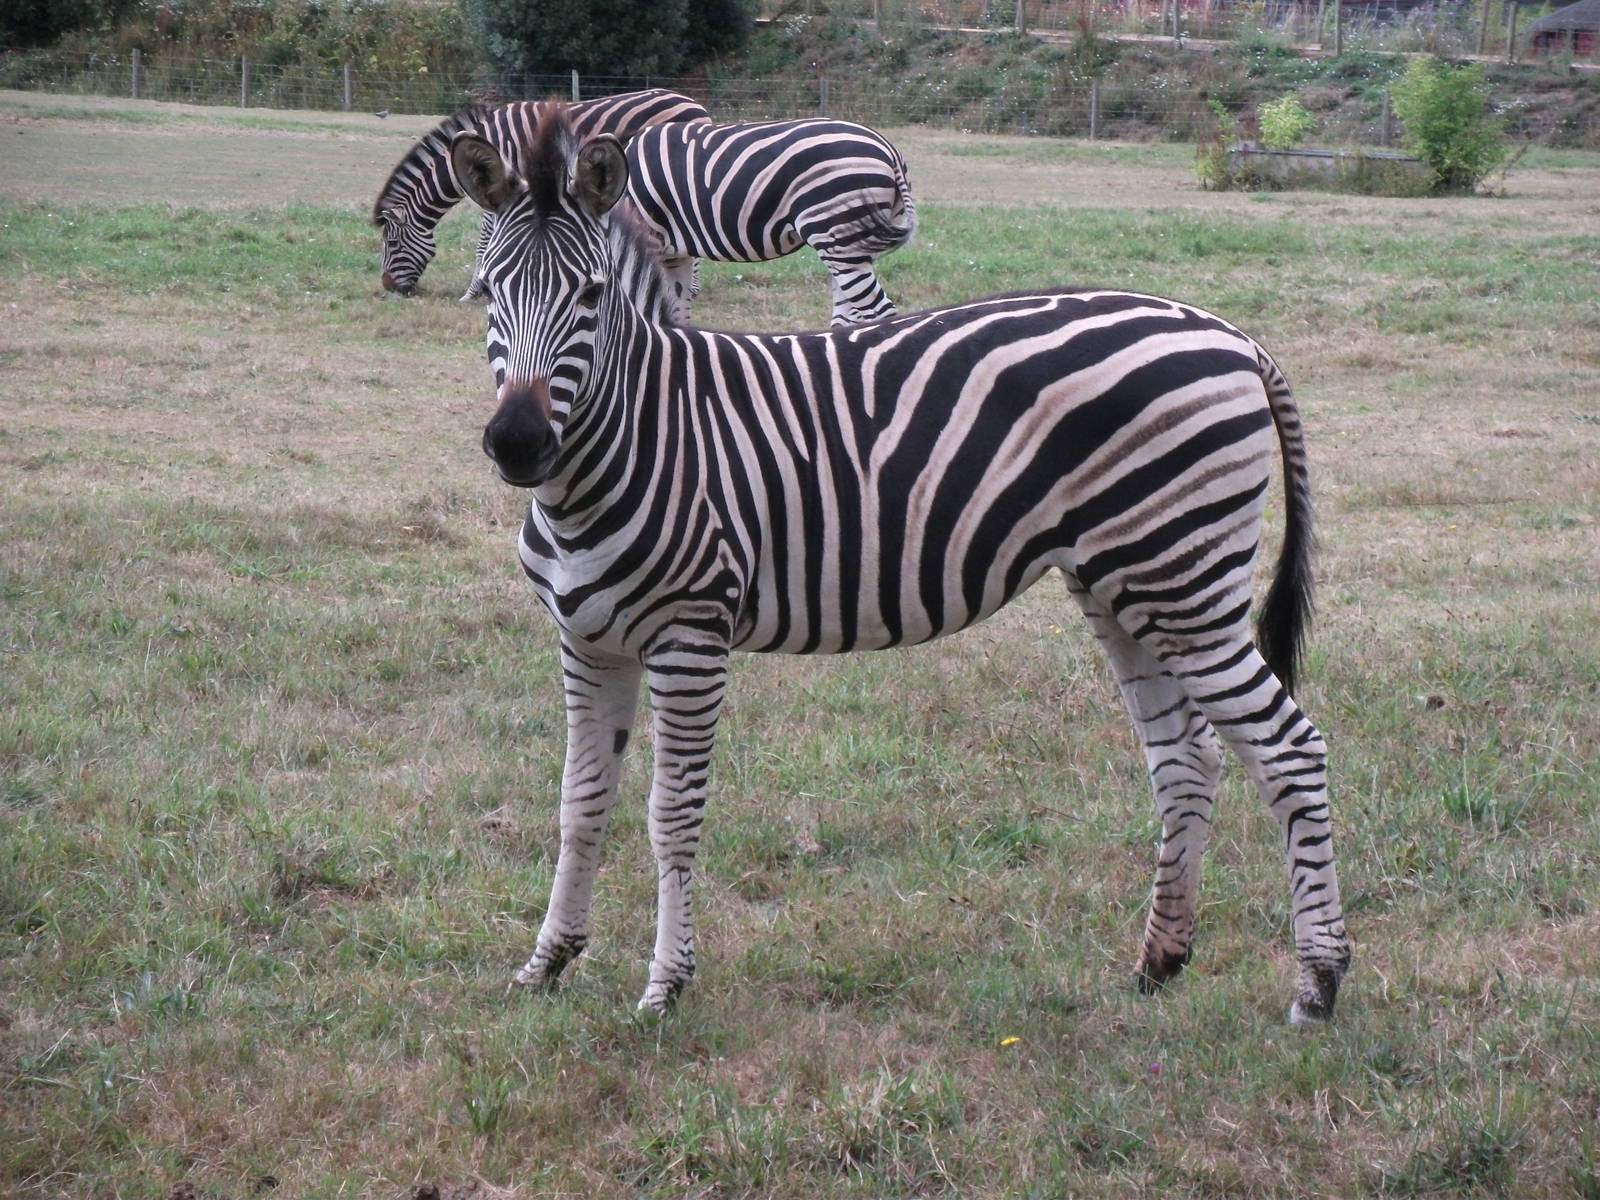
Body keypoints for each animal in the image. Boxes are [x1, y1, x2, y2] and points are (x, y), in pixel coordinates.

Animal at [372, 89, 709, 297]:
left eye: (392, 243)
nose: (387, 287)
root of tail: (694, 104)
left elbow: (485, 239)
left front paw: (474, 290)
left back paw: (692, 288)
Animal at [448, 111, 1352, 1025]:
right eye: (486, 295)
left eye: (591, 298)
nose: (518, 444)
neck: (635, 439)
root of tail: (1229, 334)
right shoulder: (588, 640)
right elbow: (579, 805)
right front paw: (547, 963)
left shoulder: (689, 636)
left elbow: (671, 813)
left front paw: (665, 986)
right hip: (1125, 585)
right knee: (1186, 756)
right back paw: (1160, 961)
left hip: (1184, 581)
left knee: (1289, 751)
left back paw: (1317, 984)